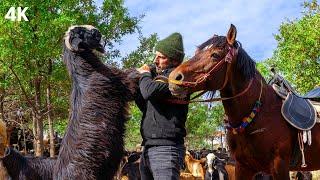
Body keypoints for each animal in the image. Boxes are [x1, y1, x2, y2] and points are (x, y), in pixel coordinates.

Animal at [168, 24, 320, 179]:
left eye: (215, 55)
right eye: (197, 52)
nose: (174, 77)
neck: (260, 114)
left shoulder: (280, 165)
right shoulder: (242, 167)